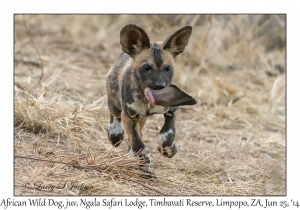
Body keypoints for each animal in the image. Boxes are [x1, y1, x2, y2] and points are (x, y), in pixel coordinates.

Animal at [106, 23, 193, 176]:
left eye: (168, 69)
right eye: (146, 68)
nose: (160, 86)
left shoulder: (172, 109)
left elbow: (167, 135)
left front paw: (168, 150)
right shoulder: (128, 117)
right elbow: (140, 147)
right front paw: (147, 168)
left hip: (141, 119)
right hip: (116, 104)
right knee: (115, 117)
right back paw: (115, 134)